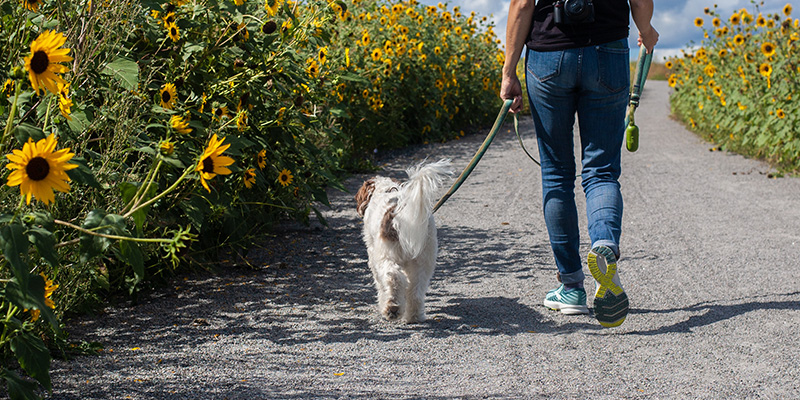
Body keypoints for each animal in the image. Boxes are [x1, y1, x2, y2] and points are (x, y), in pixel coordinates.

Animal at [354, 159, 454, 322]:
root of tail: (400, 213)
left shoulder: (374, 256)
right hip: (423, 260)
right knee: (416, 290)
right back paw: (414, 316)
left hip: (387, 256)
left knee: (394, 278)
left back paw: (392, 308)